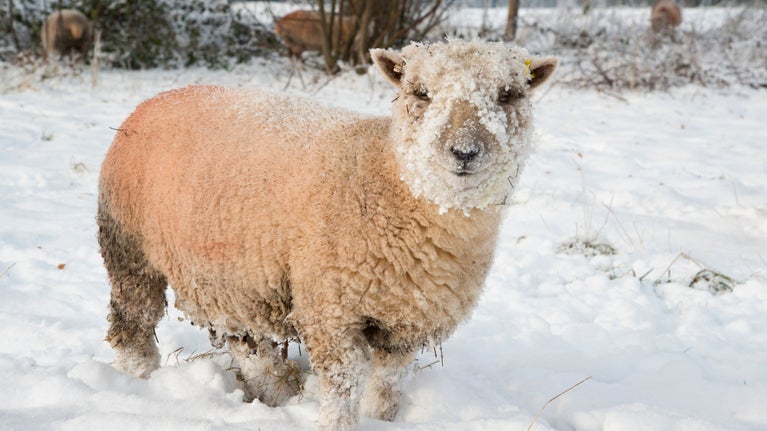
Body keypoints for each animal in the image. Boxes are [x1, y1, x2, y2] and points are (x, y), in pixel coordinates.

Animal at [97, 39, 557, 431]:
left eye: (508, 94)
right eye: (420, 93)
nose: (464, 152)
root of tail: (153, 100)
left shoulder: (407, 320)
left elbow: (387, 384)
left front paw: (379, 417)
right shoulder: (329, 310)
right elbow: (342, 386)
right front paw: (340, 422)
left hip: (236, 277)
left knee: (248, 343)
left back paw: (274, 393)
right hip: (128, 248)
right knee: (133, 324)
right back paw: (140, 382)